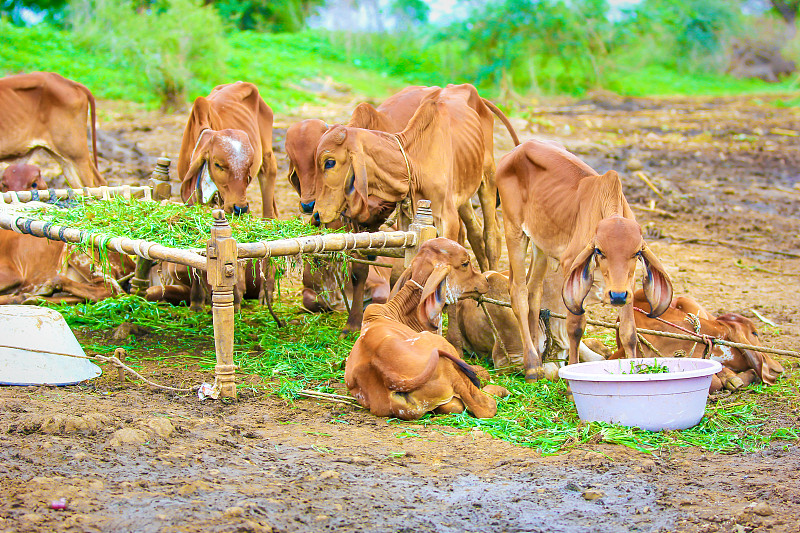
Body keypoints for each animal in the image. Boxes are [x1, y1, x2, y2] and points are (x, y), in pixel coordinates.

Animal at [346, 238, 510, 420]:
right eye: (465, 263)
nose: (485, 281)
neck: (397, 313)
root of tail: (390, 377)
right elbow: (483, 373)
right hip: (446, 355)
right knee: (485, 405)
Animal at [496, 139, 672, 380]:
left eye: (636, 253)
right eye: (599, 251)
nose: (617, 296)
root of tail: (518, 148)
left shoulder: (628, 282)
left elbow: (629, 332)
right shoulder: (570, 266)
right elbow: (575, 326)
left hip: (540, 244)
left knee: (534, 291)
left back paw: (538, 357)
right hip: (513, 229)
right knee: (518, 292)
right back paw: (531, 365)